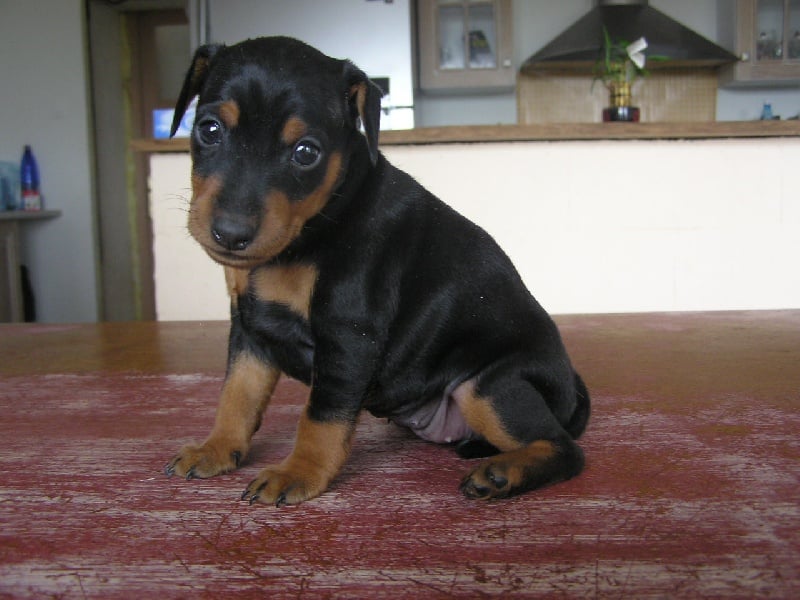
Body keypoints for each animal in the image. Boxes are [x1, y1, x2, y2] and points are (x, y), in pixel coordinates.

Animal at [164, 37, 590, 506]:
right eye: (208, 129)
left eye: (306, 152)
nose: (231, 233)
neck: (316, 224)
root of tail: (570, 388)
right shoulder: (250, 327)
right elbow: (237, 395)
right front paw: (217, 448)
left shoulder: (349, 334)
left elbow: (321, 417)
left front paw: (298, 472)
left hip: (489, 385)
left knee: (564, 449)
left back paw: (502, 474)